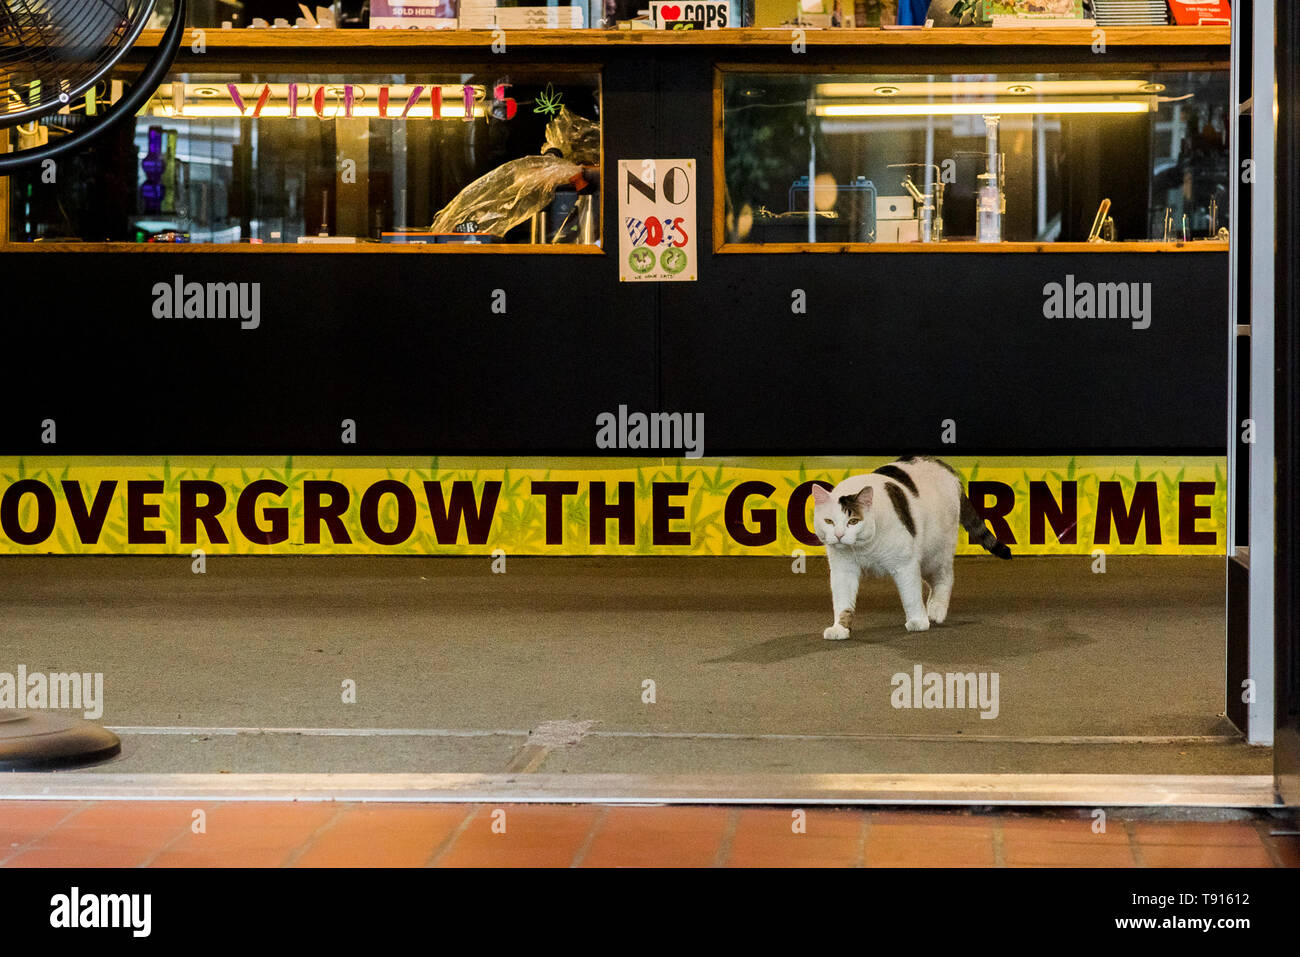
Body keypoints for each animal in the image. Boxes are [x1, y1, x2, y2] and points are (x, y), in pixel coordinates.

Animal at [811, 455, 1013, 639]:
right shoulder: (843, 570)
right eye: (829, 521)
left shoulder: (905, 565)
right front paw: (840, 629)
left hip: (935, 554)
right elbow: (842, 602)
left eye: (853, 521)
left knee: (945, 578)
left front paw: (918, 621)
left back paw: (936, 610)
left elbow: (911, 595)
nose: (839, 535)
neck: (863, 547)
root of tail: (947, 468)